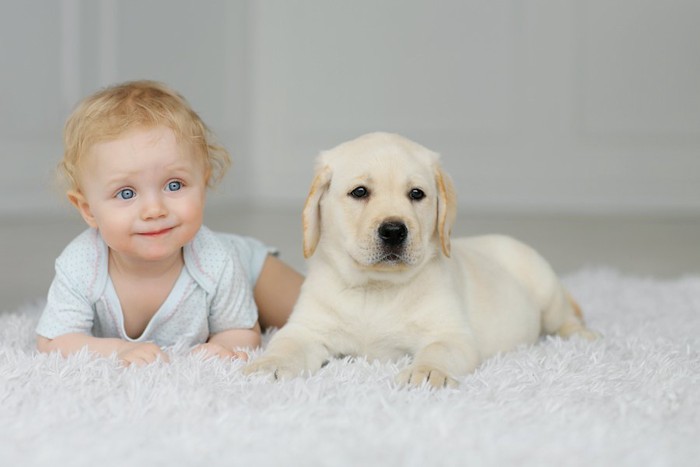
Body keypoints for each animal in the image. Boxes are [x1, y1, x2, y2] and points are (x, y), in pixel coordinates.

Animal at [246, 131, 596, 388]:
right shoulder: (306, 328)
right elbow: (285, 345)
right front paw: (267, 365)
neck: (377, 288)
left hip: (545, 286)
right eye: (359, 192)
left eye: (417, 194)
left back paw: (585, 337)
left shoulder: (452, 334)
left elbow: (437, 350)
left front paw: (426, 372)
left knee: (564, 318)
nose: (393, 230)